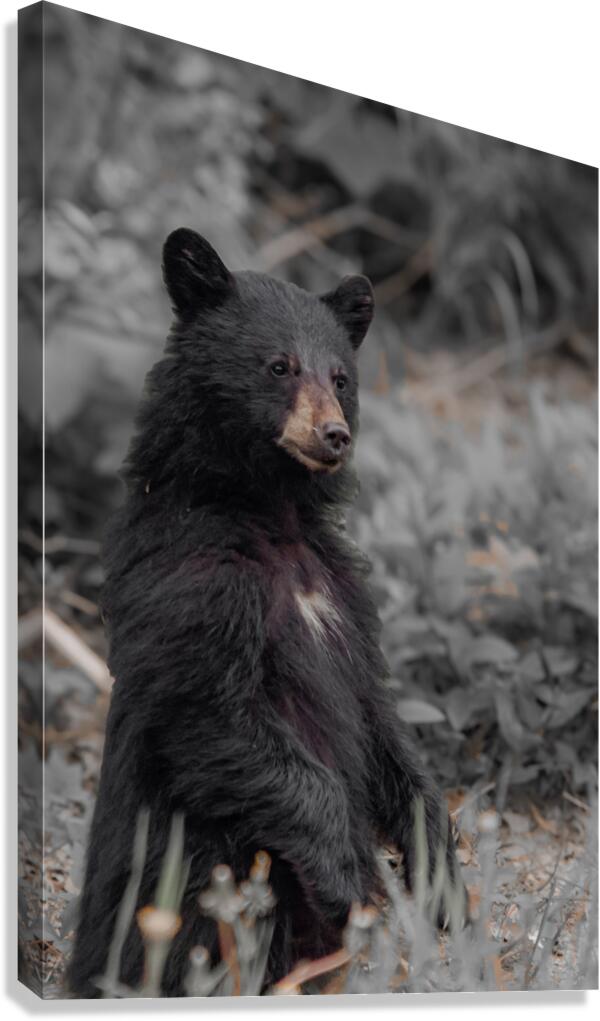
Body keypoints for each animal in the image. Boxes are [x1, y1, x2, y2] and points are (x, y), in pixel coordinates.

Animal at [68, 229, 462, 998]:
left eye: (340, 377)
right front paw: (357, 883)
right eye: (279, 366)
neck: (269, 515)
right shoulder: (192, 580)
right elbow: (215, 713)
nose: (334, 434)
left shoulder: (344, 595)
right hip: (195, 881)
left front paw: (440, 871)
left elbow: (377, 714)